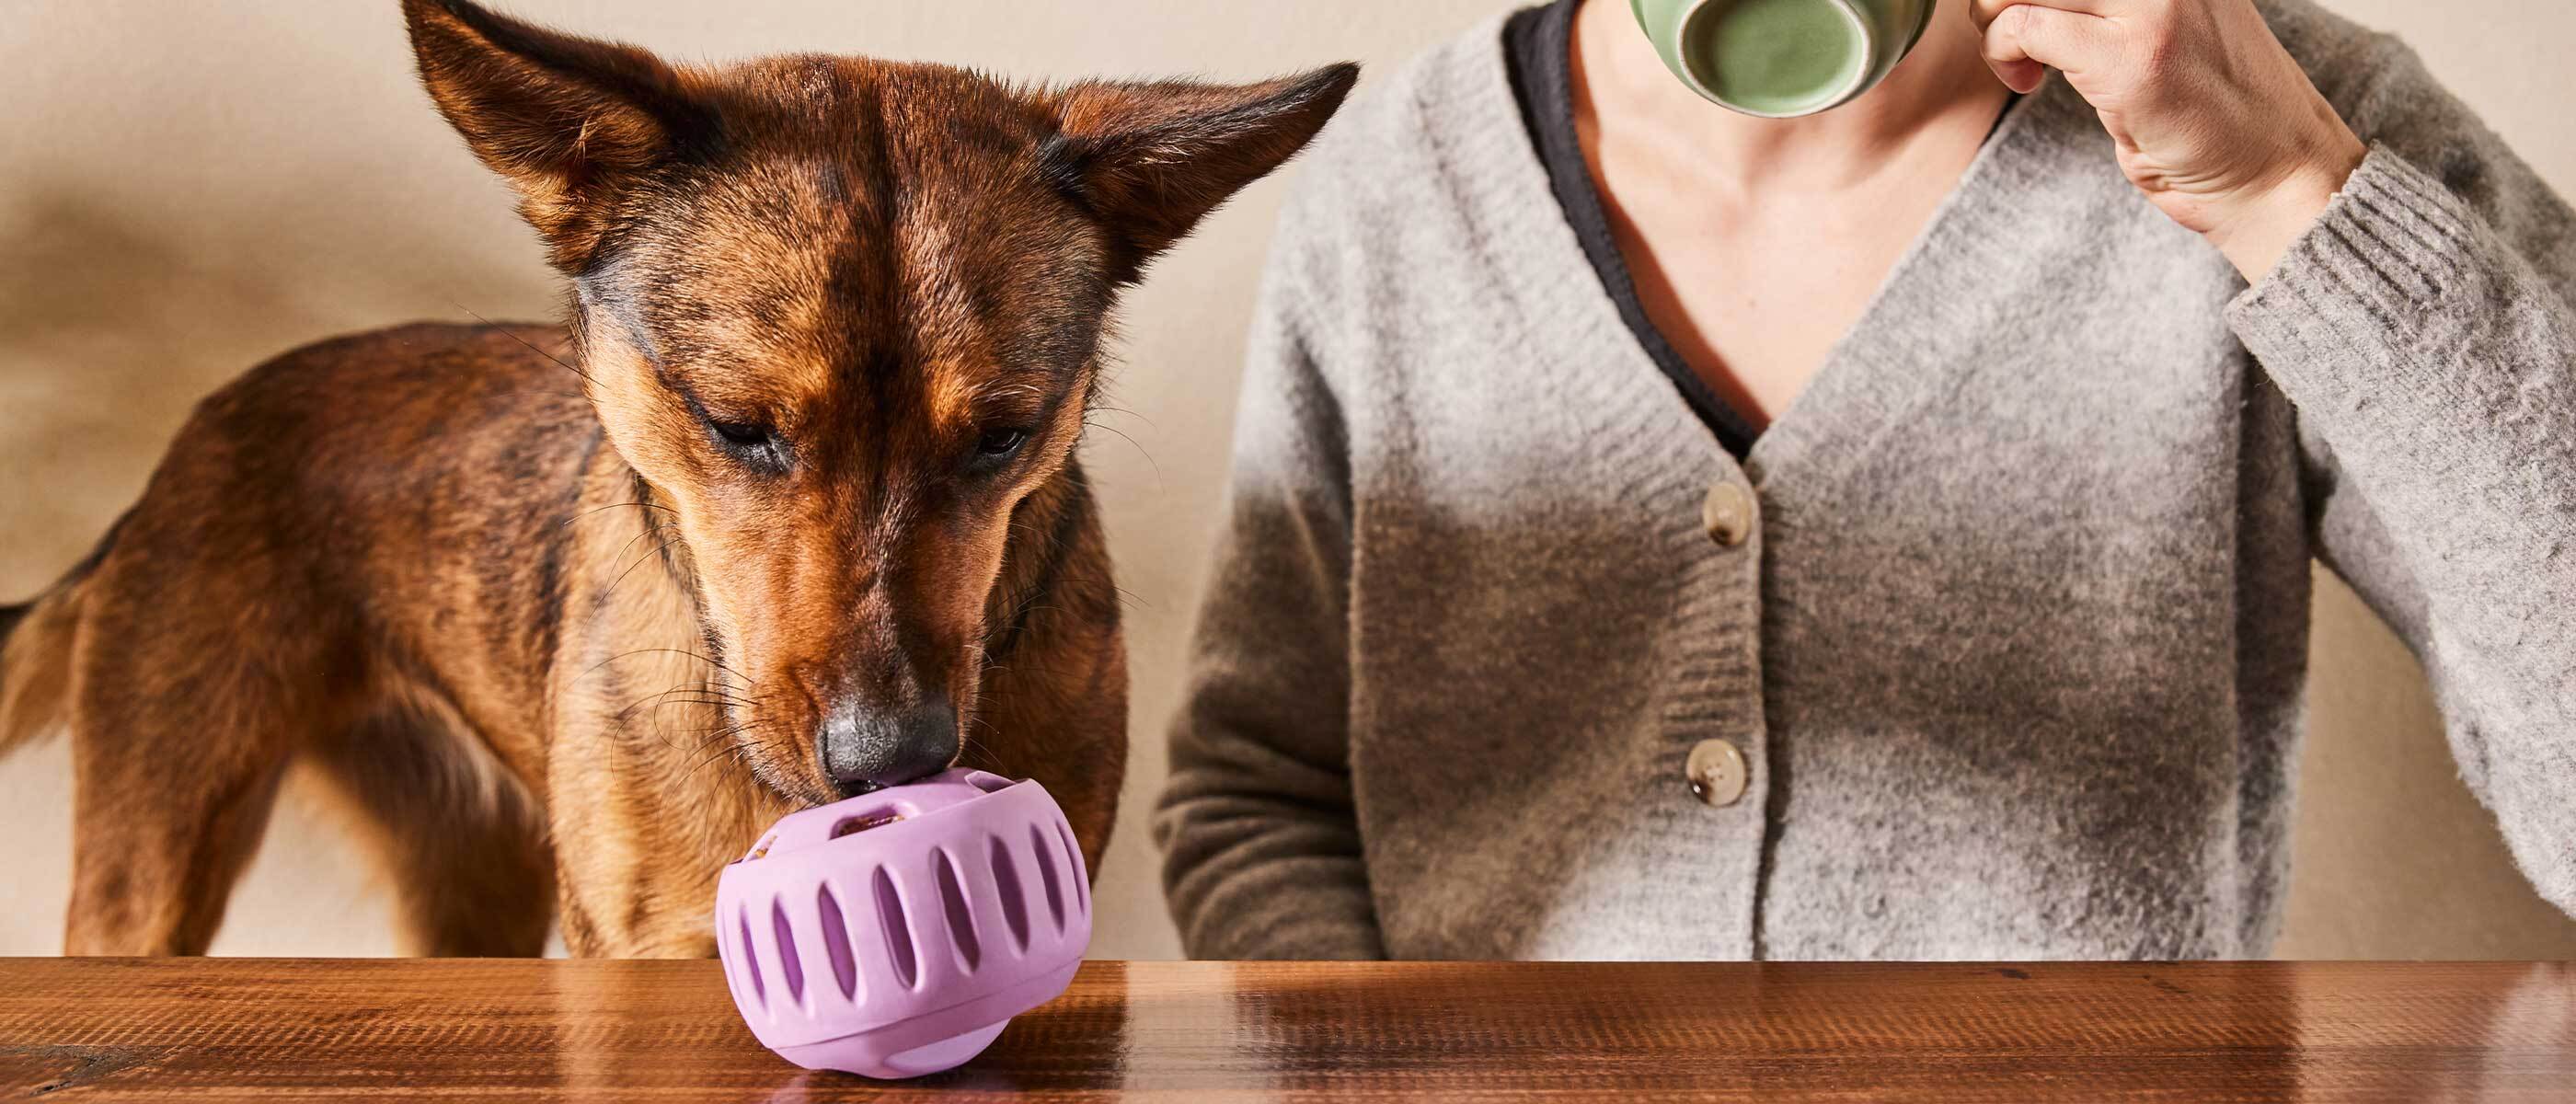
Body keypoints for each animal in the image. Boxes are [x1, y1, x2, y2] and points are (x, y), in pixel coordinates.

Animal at [0, 0, 1360, 951]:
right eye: (736, 423)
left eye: (1001, 436)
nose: (894, 760)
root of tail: (200, 427)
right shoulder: (641, 944)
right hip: (150, 861)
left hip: (469, 880)